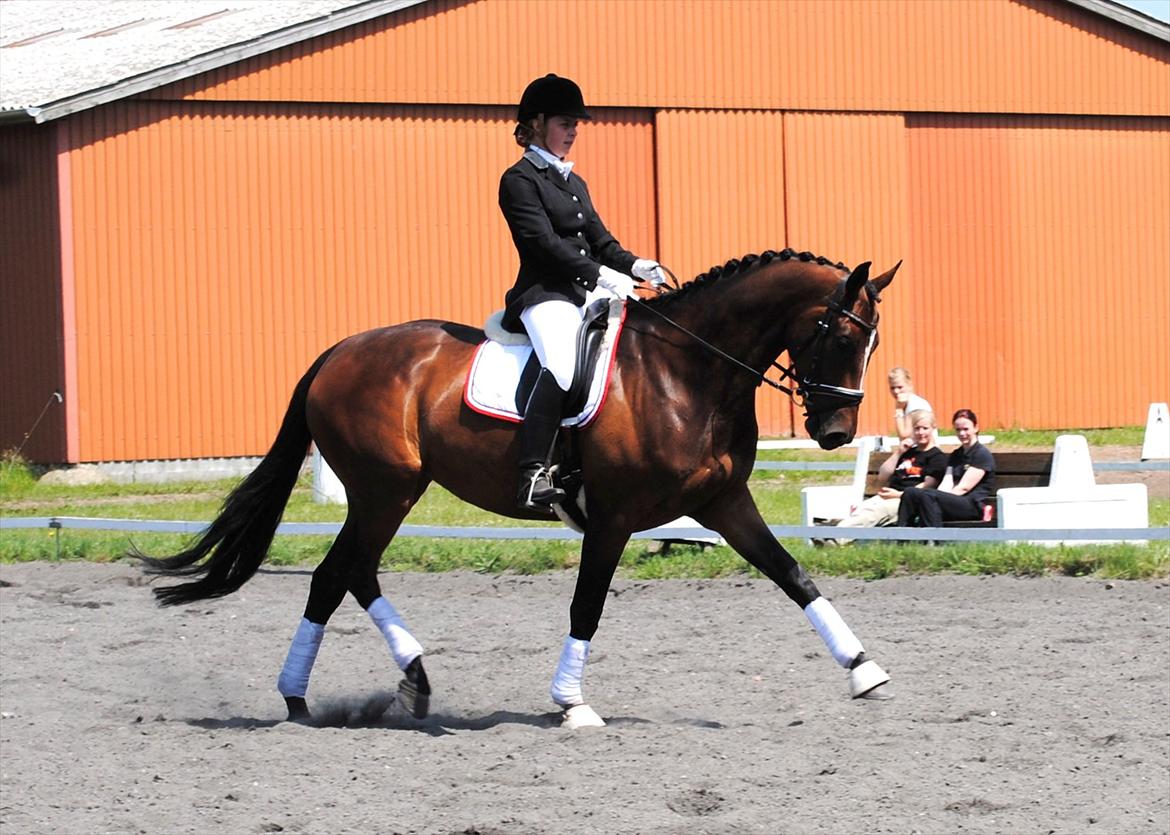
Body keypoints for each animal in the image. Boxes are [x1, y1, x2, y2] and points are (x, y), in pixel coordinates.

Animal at [139, 244, 903, 725]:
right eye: (841, 335)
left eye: (871, 343)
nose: (835, 431)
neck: (689, 374)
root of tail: (338, 352)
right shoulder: (614, 517)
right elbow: (586, 607)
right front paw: (573, 703)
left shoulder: (724, 502)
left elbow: (793, 574)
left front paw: (865, 670)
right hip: (387, 488)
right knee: (342, 572)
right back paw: (325, 694)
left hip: (389, 491)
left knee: (343, 574)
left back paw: (375, 687)